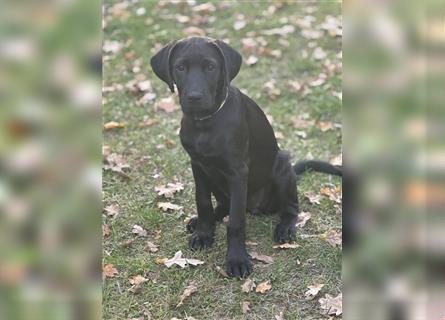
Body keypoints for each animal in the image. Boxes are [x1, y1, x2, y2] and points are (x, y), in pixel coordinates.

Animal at [151, 37, 342, 278]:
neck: (206, 122)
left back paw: (285, 228)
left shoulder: (237, 172)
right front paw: (204, 233)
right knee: (224, 204)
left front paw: (236, 259)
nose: (194, 97)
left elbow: (236, 221)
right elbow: (202, 202)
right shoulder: (198, 166)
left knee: (290, 208)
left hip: (283, 168)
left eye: (211, 67)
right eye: (180, 67)